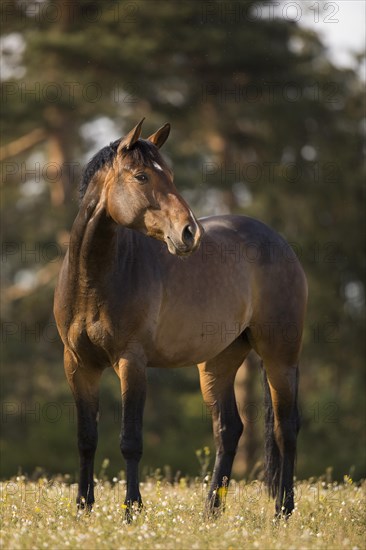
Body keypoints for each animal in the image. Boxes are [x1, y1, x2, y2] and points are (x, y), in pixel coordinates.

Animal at [53, 119, 306, 520]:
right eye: (141, 176)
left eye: (169, 175)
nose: (189, 233)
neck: (93, 280)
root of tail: (279, 242)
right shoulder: (78, 364)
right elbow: (85, 439)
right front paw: (83, 509)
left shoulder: (131, 362)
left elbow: (130, 440)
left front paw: (131, 511)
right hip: (217, 363)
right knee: (229, 429)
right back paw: (211, 512)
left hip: (280, 355)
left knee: (286, 428)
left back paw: (283, 510)